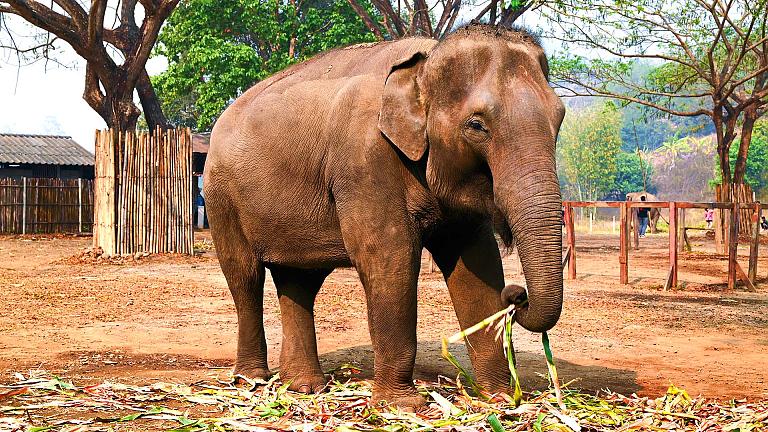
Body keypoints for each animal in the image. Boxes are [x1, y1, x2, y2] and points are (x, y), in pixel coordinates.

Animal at [204, 23, 565, 408]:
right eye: (477, 125)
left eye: (559, 118)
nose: (517, 295)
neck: (426, 62)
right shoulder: (366, 160)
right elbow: (390, 257)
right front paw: (402, 404)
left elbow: (477, 264)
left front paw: (499, 399)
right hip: (221, 198)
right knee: (245, 277)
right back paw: (252, 381)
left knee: (299, 280)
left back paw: (304, 386)